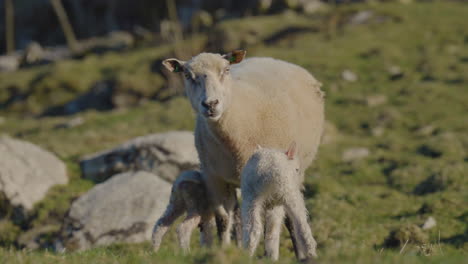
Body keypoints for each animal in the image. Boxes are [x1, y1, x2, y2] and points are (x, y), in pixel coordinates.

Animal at [159, 49, 324, 258]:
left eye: (226, 70)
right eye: (188, 75)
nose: (210, 104)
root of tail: (272, 59)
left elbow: (270, 227)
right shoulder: (214, 178)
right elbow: (223, 220)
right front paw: (224, 250)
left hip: (292, 177)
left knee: (289, 220)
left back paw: (300, 255)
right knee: (237, 216)